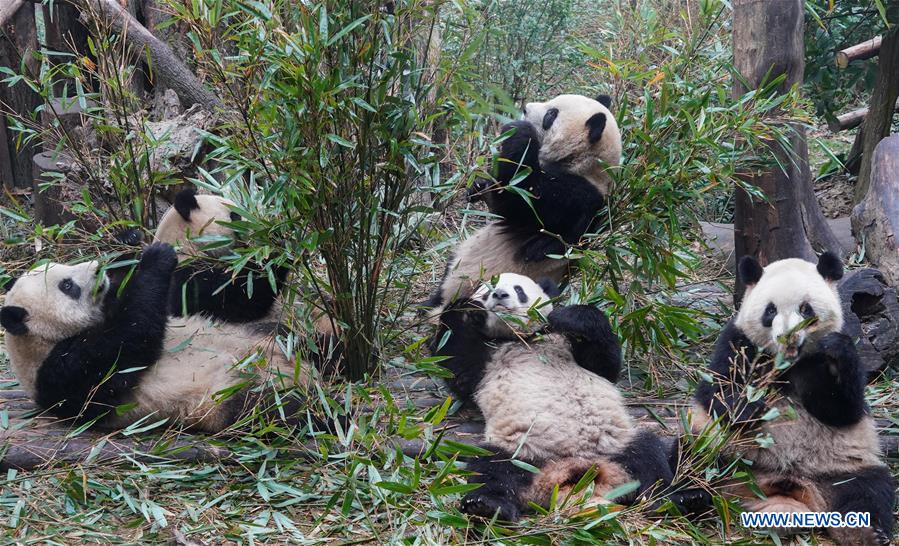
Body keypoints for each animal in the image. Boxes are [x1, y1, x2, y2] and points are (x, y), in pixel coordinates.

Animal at [420, 93, 620, 314]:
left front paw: (519, 132)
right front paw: (478, 185)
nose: (525, 108)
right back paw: (426, 305)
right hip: (461, 257)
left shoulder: (577, 195)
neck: (587, 164)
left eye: (551, 114)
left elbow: (519, 198)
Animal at [430, 272, 684, 520]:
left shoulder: (564, 342)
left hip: (617, 445)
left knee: (649, 458)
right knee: (492, 469)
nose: (500, 294)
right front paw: (466, 309)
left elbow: (605, 362)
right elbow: (457, 368)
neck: (520, 339)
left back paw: (675, 501)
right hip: (520, 452)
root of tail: (570, 474)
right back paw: (487, 505)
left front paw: (568, 316)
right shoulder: (486, 357)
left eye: (518, 289)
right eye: (486, 291)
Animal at [692, 252, 896, 544]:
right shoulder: (738, 342)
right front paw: (750, 407)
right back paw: (689, 496)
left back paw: (866, 532)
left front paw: (837, 350)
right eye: (770, 310)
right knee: (687, 459)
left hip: (842, 468)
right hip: (722, 453)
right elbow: (715, 390)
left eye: (806, 309)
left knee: (869, 489)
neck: (787, 362)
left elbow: (845, 410)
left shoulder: (826, 361)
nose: (787, 336)